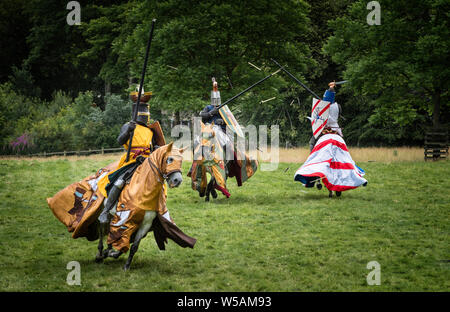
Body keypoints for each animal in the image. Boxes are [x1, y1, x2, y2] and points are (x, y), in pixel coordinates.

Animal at [47, 142, 195, 270]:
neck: (143, 189)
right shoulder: (123, 218)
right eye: (169, 159)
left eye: (181, 160)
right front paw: (108, 253)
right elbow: (118, 239)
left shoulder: (144, 224)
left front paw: (125, 265)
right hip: (105, 211)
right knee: (102, 225)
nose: (177, 180)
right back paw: (100, 253)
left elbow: (132, 246)